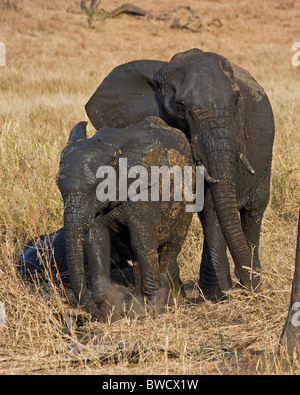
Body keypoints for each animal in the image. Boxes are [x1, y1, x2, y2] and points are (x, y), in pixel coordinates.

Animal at [57, 116, 196, 320]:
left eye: (95, 187)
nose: (98, 315)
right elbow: (97, 239)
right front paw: (107, 305)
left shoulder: (144, 192)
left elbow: (141, 240)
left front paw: (152, 309)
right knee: (133, 251)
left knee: (169, 247)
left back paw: (166, 301)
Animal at [85, 47, 276, 300]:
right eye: (181, 107)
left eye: (237, 100)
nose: (247, 288)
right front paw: (188, 295)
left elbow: (212, 204)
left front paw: (215, 295)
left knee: (254, 212)